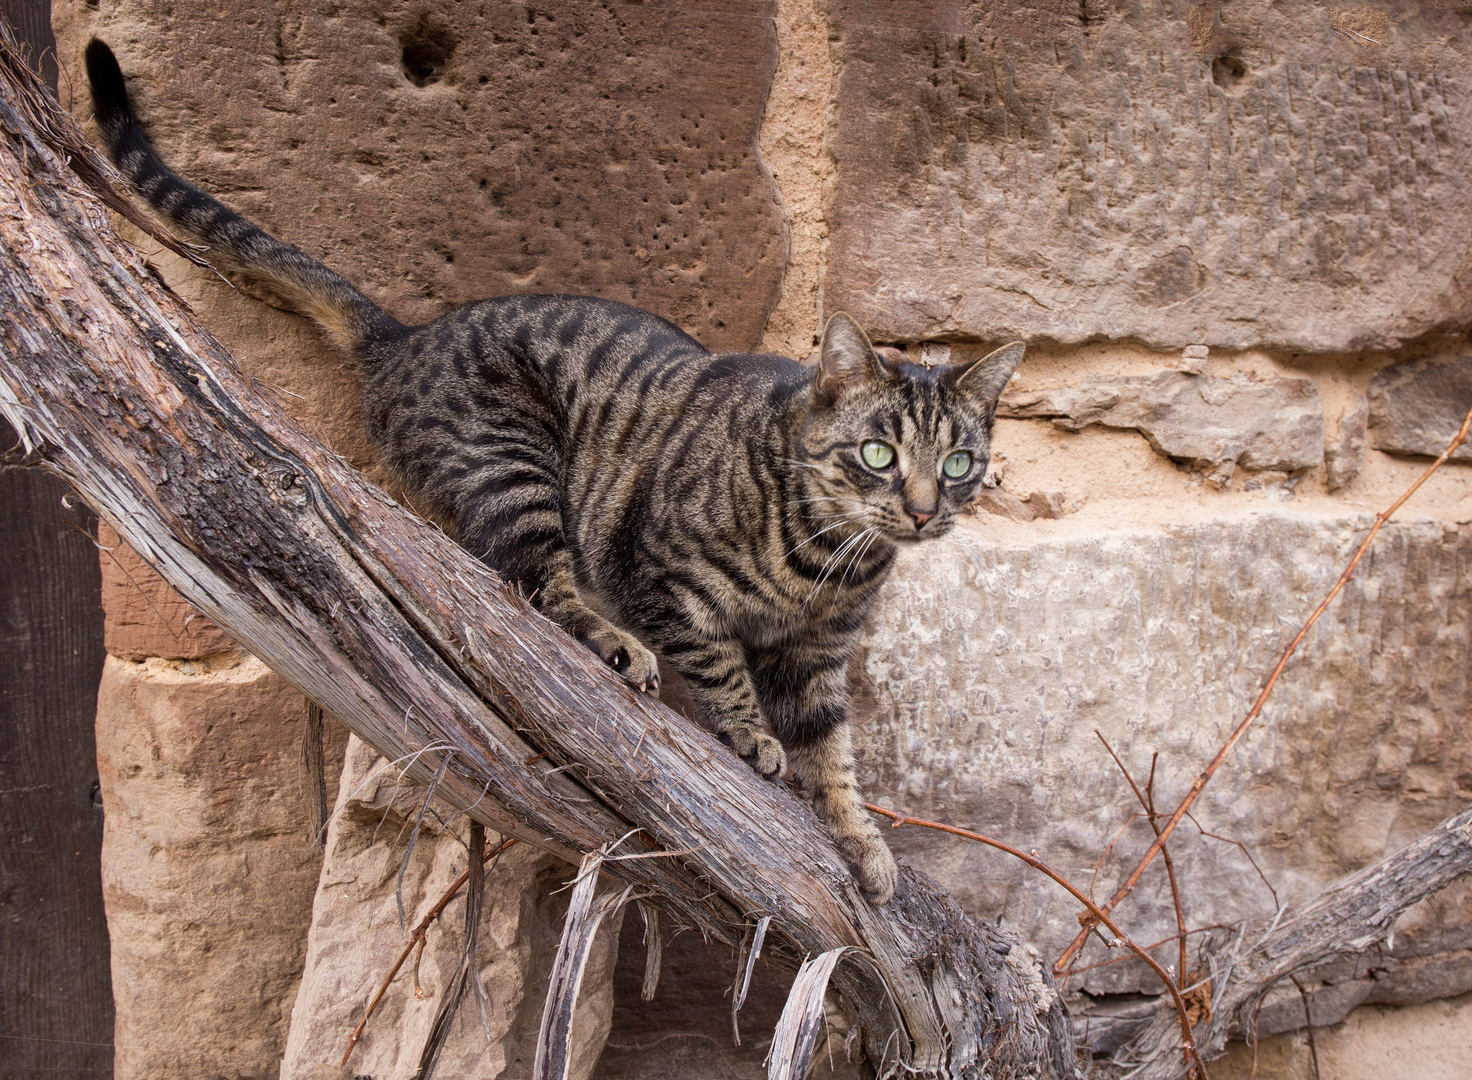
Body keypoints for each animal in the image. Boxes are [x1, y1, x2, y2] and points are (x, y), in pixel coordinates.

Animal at [83, 38, 1024, 906]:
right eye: (878, 454)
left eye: (959, 462)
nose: (922, 509)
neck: (827, 560)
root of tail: (406, 339)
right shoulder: (664, 574)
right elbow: (722, 670)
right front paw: (751, 736)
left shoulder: (819, 656)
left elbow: (833, 752)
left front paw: (863, 841)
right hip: (516, 463)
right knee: (534, 582)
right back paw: (614, 645)